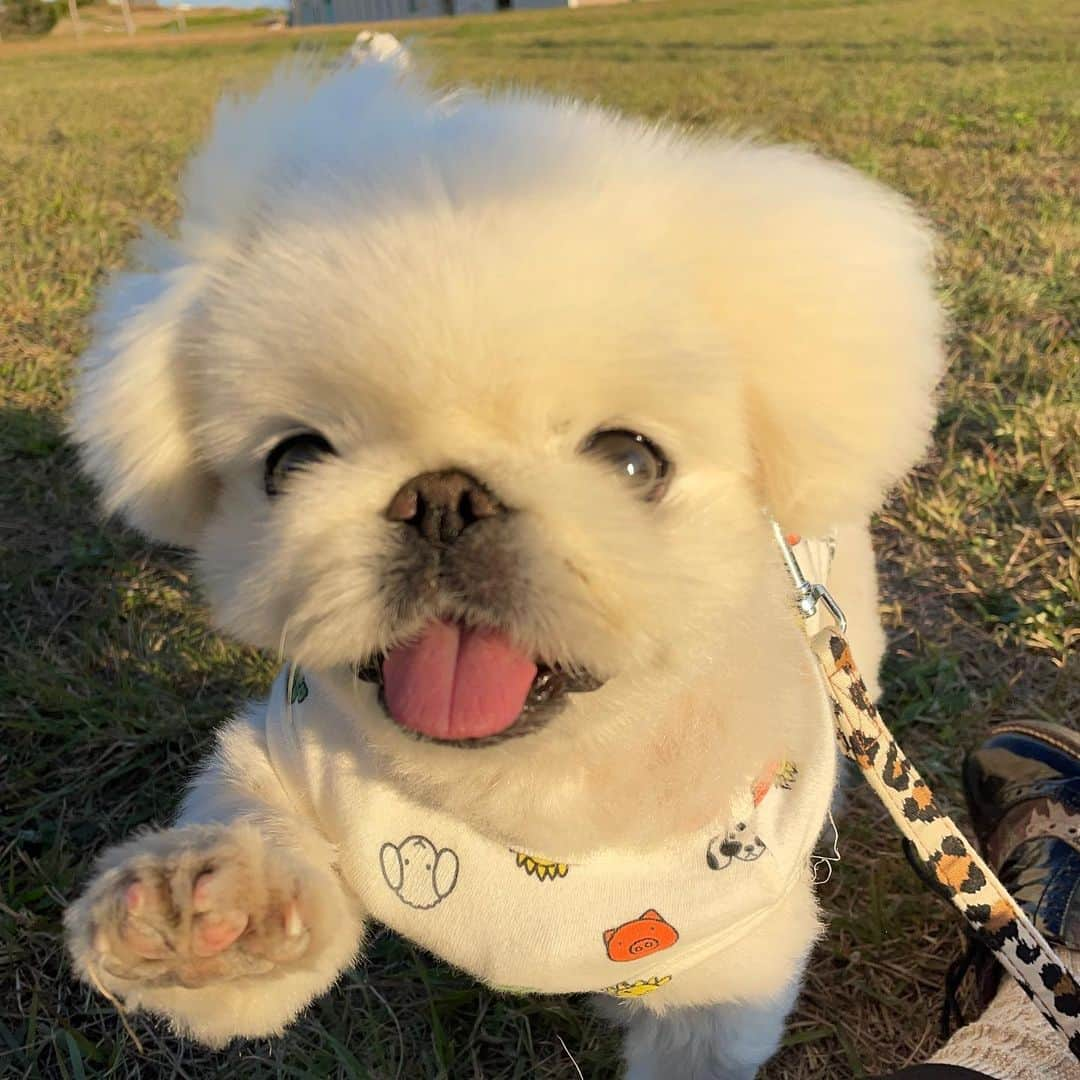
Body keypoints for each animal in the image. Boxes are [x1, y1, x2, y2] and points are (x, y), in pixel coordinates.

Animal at [65, 54, 946, 1075]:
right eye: (293, 460)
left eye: (632, 460)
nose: (443, 498)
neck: (523, 807)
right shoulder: (283, 767)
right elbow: (253, 919)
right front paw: (203, 915)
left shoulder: (718, 988)